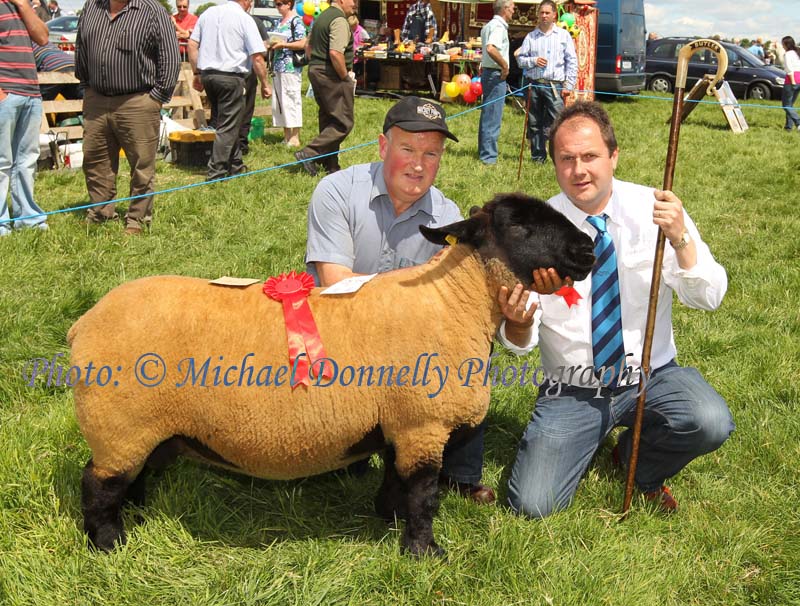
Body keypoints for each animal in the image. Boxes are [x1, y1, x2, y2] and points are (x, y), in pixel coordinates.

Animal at [69, 192, 592, 560]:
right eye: (518, 224)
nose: (587, 247)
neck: (451, 301)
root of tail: (83, 323)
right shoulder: (423, 425)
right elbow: (423, 494)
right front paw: (425, 552)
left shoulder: (399, 425)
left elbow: (397, 482)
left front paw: (388, 520)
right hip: (118, 423)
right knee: (97, 485)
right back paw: (109, 545)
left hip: (141, 428)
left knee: (128, 478)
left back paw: (137, 516)